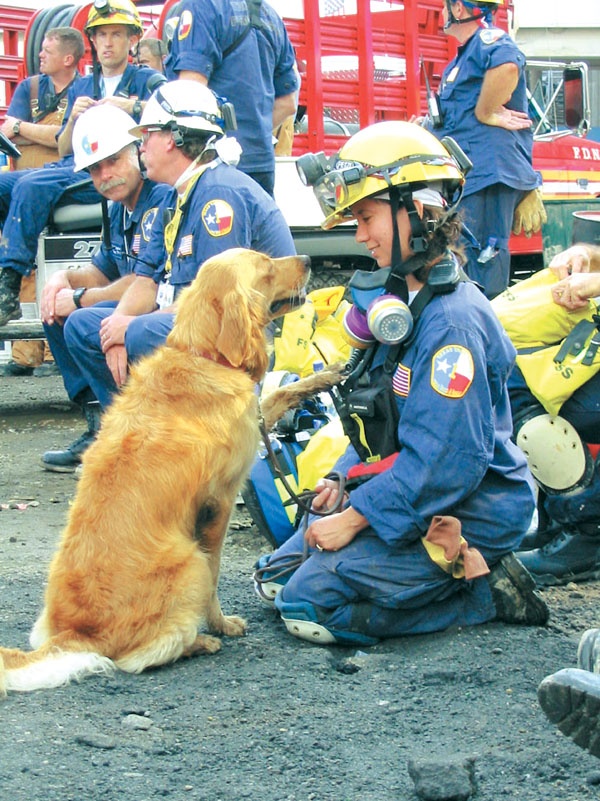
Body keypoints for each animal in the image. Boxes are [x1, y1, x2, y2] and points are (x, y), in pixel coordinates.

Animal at [1, 247, 342, 696]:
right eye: (267, 267)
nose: (307, 259)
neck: (202, 354)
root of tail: (75, 635)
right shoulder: (217, 504)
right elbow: (215, 574)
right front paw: (221, 624)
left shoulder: (252, 422)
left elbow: (280, 393)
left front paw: (325, 375)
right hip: (188, 560)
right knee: (139, 656)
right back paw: (198, 641)